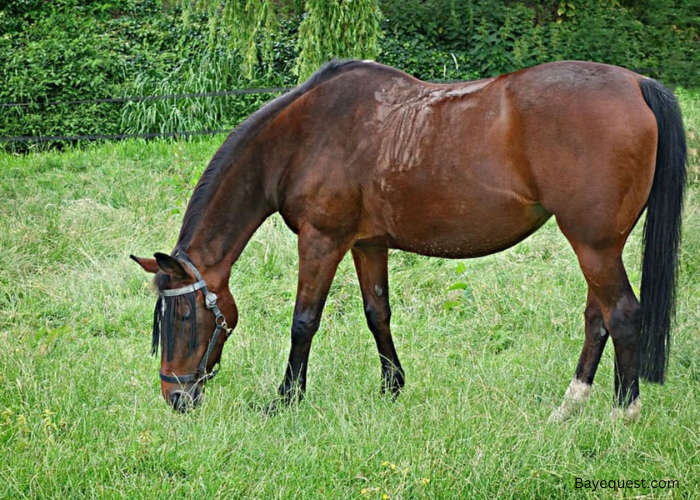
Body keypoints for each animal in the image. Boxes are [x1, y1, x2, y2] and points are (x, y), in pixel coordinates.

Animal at [131, 60, 686, 419]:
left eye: (183, 316)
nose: (175, 398)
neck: (302, 136)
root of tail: (637, 82)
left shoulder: (322, 240)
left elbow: (304, 322)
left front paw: (286, 399)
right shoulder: (367, 244)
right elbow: (377, 313)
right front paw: (392, 387)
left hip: (594, 244)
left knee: (623, 314)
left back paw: (622, 413)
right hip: (599, 246)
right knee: (598, 318)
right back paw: (570, 406)